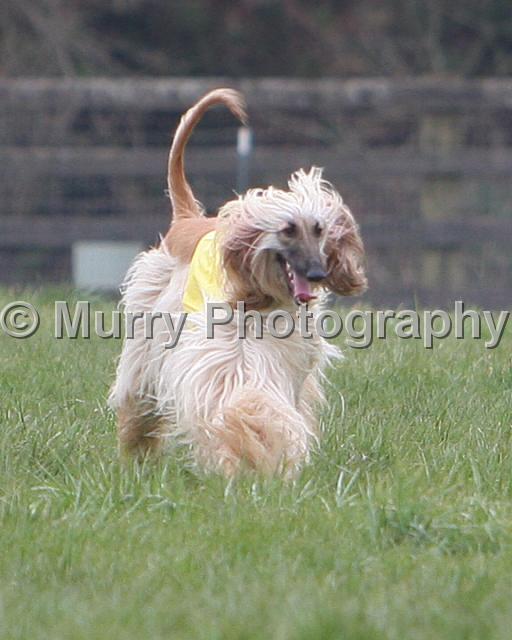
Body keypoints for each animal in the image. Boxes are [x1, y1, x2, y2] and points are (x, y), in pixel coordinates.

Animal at [109, 88, 367, 476]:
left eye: (320, 229)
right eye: (288, 229)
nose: (318, 273)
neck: (265, 297)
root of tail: (187, 219)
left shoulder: (281, 353)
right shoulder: (222, 350)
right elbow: (236, 394)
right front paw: (248, 447)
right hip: (147, 325)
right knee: (138, 392)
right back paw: (136, 446)